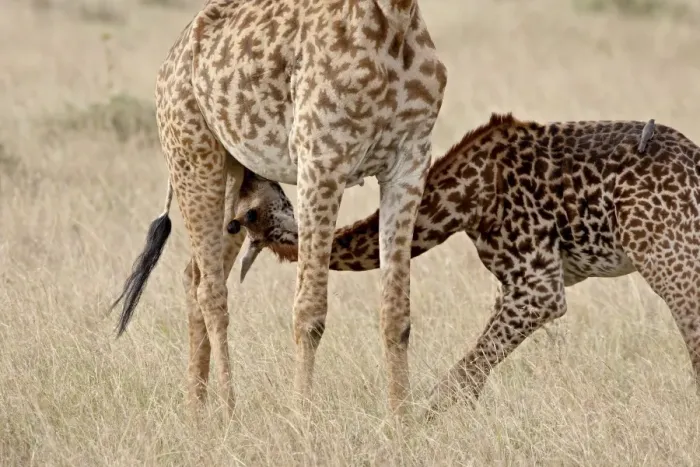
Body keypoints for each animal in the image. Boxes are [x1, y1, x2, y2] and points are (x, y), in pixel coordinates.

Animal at [109, 0, 447, 418]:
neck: (395, 20)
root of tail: (172, 59)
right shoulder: (322, 160)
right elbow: (310, 311)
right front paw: (301, 419)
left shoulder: (410, 163)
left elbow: (397, 312)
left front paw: (402, 421)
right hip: (193, 157)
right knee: (211, 290)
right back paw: (228, 410)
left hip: (233, 179)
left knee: (194, 276)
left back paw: (196, 412)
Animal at [234, 112, 700, 418]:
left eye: (248, 209)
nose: (248, 168)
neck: (464, 200)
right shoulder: (518, 284)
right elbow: (473, 374)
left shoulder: (538, 285)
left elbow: (462, 375)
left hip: (666, 257)